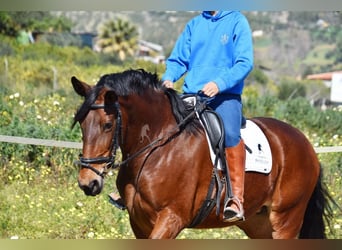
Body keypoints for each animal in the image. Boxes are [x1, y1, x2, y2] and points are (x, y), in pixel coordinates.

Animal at [70, 69, 334, 239]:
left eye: (107, 125)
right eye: (81, 123)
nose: (87, 182)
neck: (158, 148)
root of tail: (307, 145)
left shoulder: (171, 218)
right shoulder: (139, 222)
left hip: (285, 220)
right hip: (259, 224)